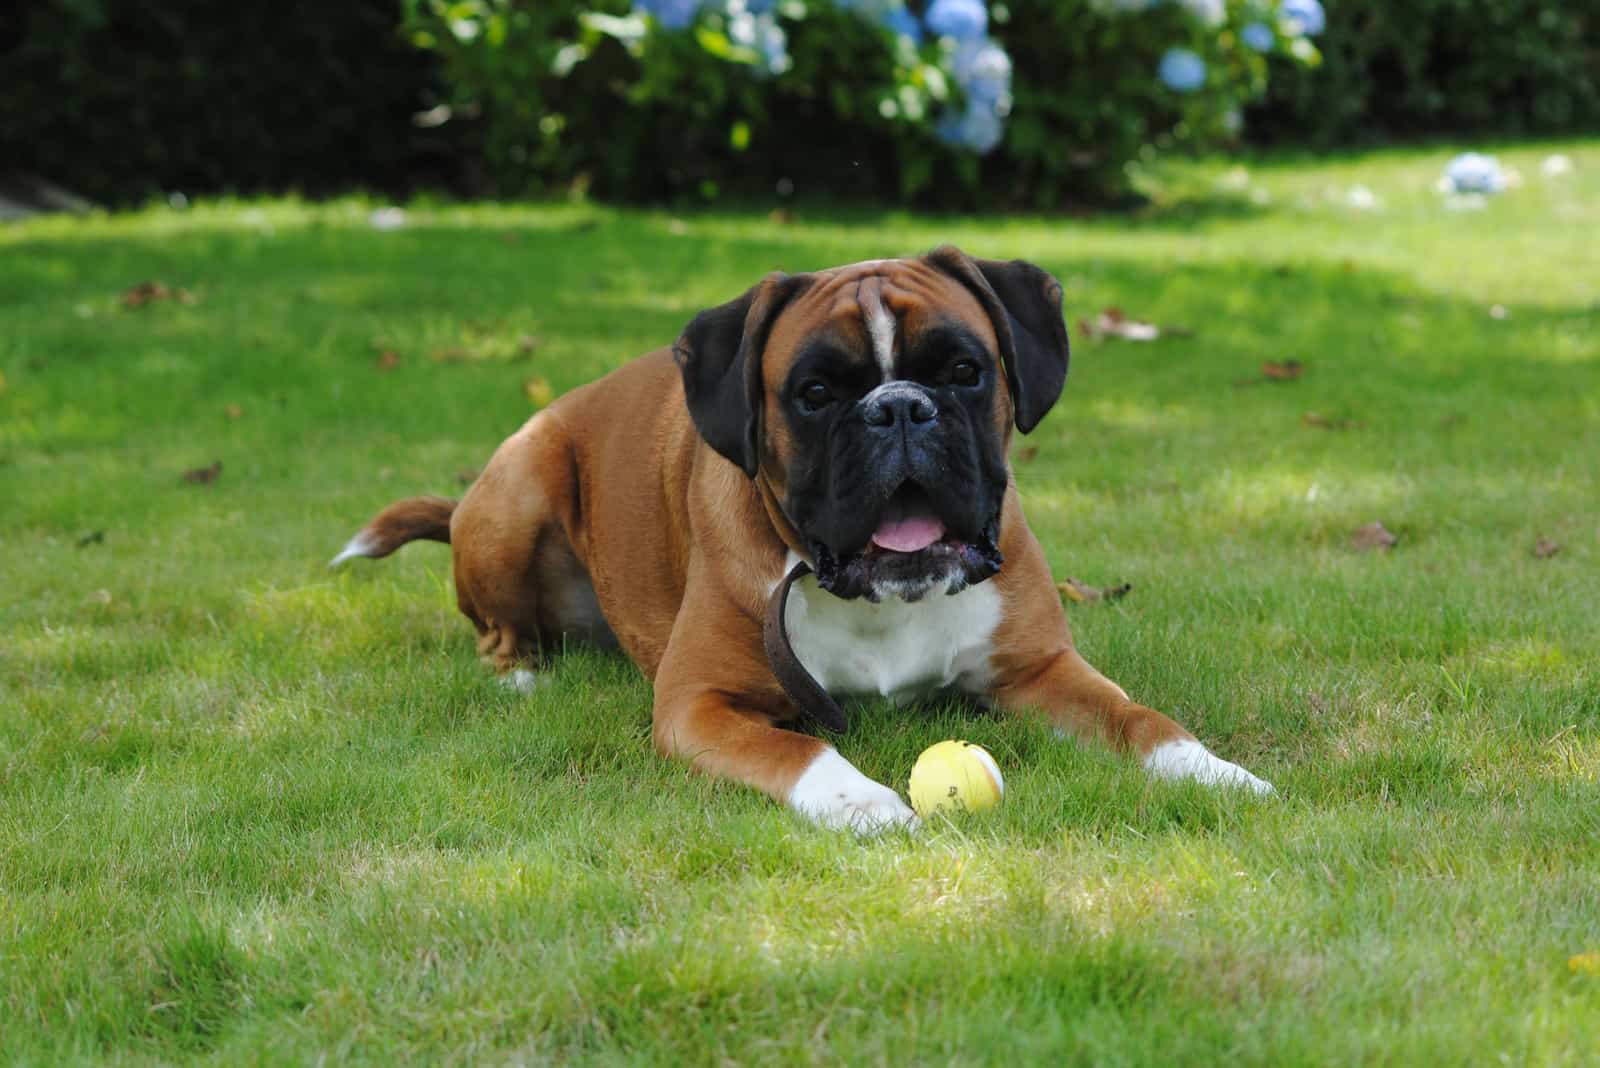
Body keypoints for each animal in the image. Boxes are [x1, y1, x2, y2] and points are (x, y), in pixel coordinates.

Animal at [337, 246, 1273, 831]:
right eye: (816, 392)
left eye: (963, 371)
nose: (900, 408)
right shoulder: (699, 705)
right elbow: (796, 745)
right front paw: (860, 802)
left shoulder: (1042, 671)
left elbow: (1138, 717)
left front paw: (1213, 771)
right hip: (519, 483)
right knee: (498, 629)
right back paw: (522, 675)